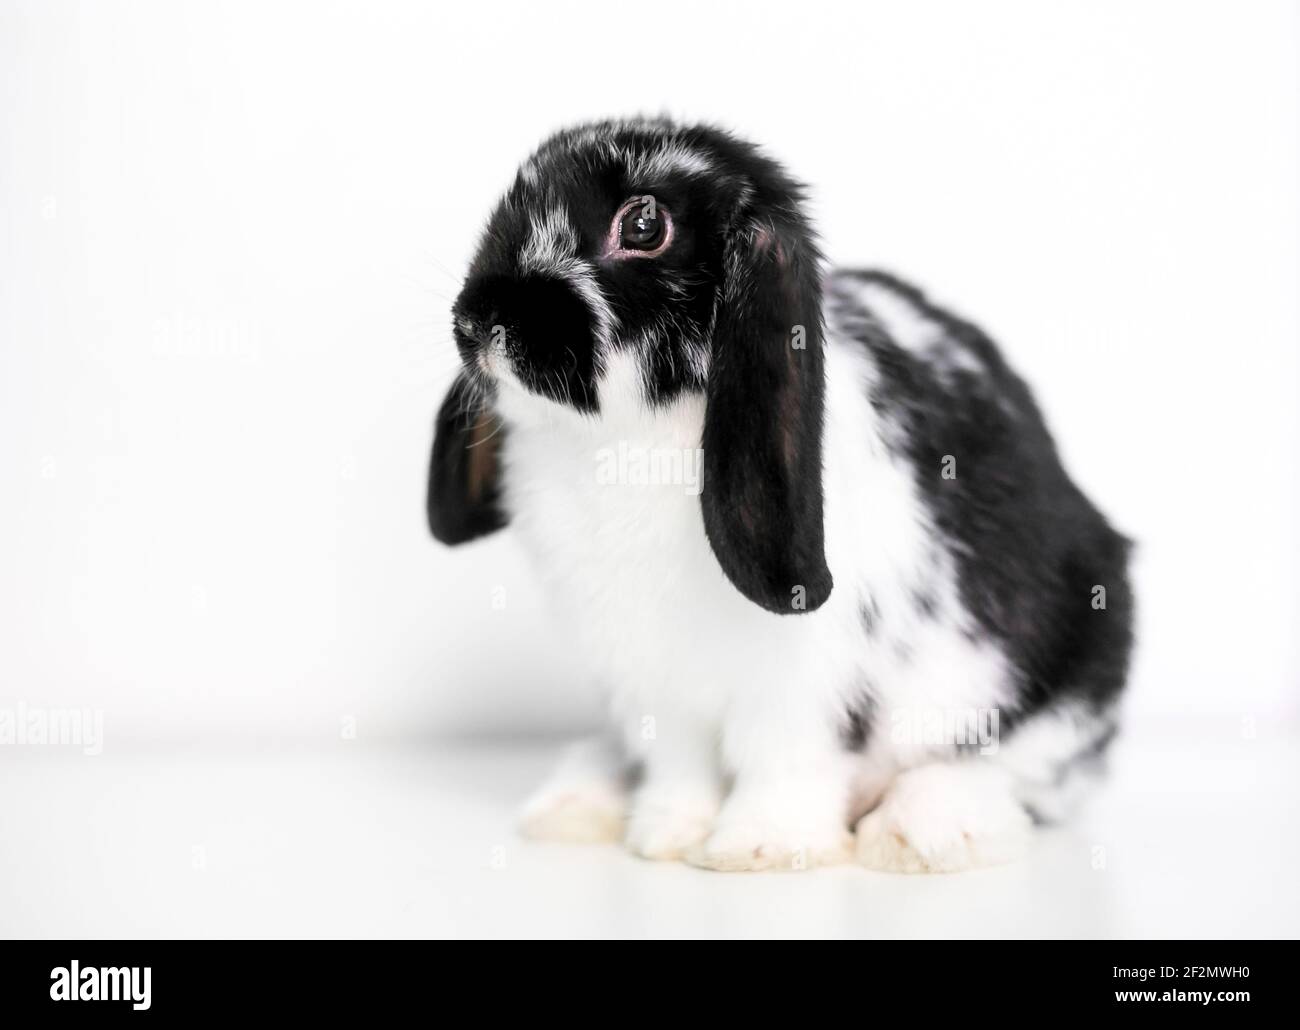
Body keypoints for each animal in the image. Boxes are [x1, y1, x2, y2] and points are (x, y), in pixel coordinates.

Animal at [427, 117, 1133, 873]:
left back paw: (923, 834)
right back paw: (574, 806)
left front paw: (760, 848)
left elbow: (785, 759)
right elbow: (679, 766)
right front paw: (666, 836)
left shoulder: (804, 683)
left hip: (1071, 668)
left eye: (644, 224)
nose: (476, 322)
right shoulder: (656, 684)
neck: (617, 443)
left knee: (1011, 771)